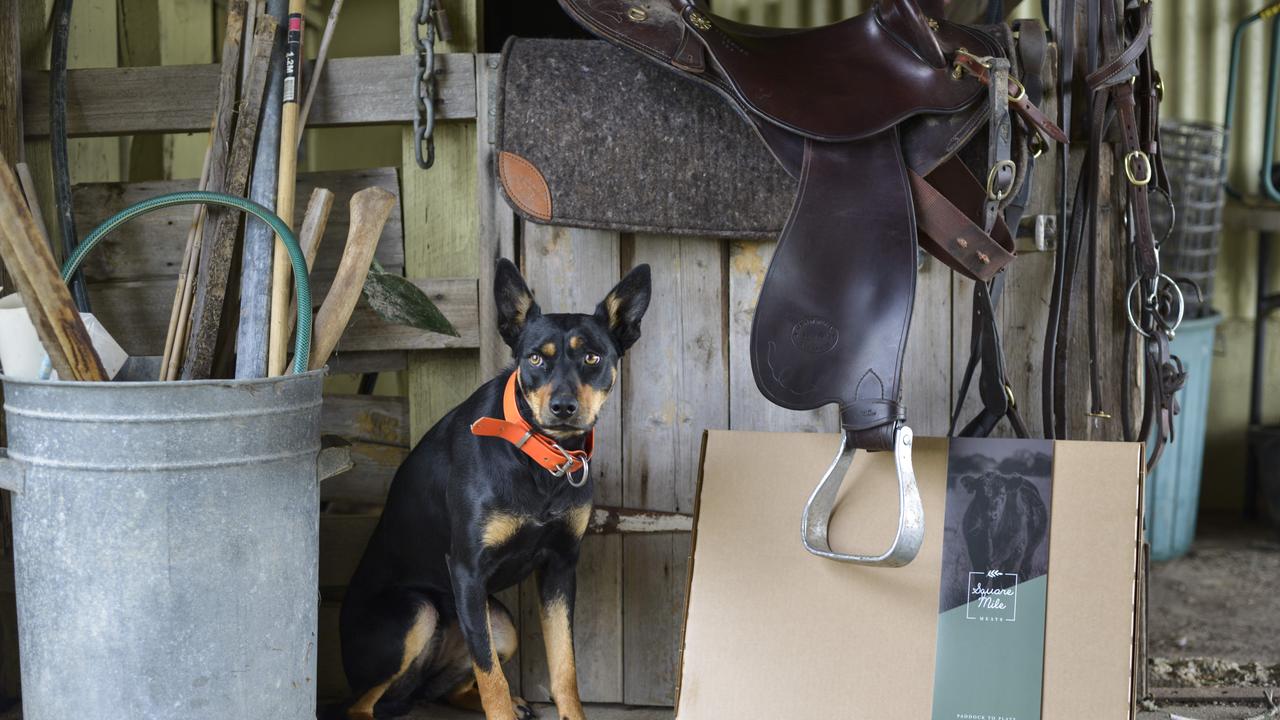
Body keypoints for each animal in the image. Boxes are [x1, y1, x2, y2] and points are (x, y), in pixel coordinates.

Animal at [340, 257, 650, 717]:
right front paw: (503, 705)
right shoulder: (467, 570)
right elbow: (491, 678)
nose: (562, 408)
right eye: (535, 358)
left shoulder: (561, 565)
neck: (541, 460)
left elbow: (565, 669)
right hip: (418, 611)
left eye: (593, 357)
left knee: (444, 689)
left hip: (501, 624)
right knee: (360, 705)